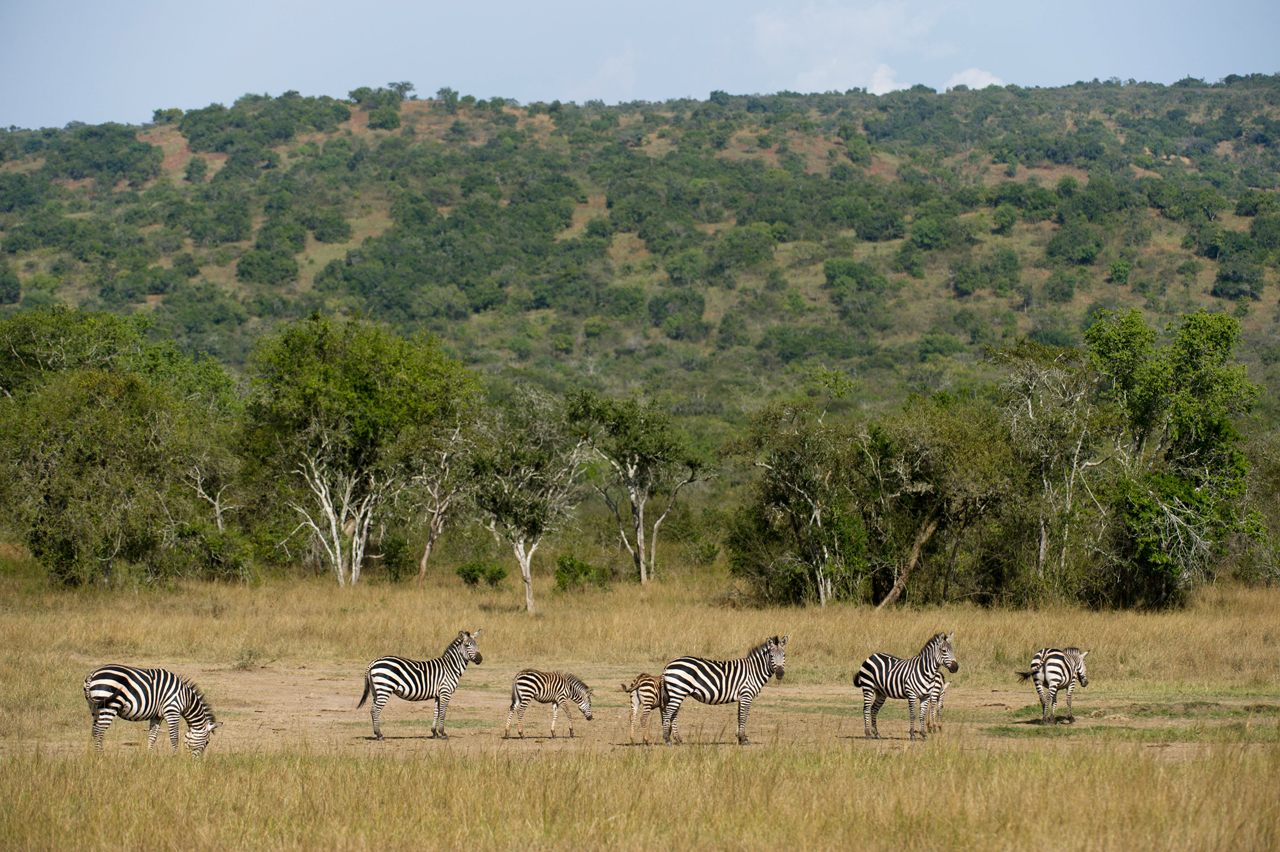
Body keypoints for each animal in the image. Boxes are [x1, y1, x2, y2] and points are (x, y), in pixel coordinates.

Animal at [83, 665, 221, 757]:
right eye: (207, 742)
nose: (196, 762)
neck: (185, 699)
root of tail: (92, 675)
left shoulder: (157, 716)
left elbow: (152, 736)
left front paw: (148, 757)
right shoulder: (172, 711)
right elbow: (174, 737)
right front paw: (175, 757)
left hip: (95, 708)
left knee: (94, 731)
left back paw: (94, 756)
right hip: (109, 705)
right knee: (99, 732)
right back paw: (101, 756)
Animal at [660, 629, 788, 741]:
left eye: (784, 655)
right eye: (771, 656)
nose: (780, 673)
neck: (754, 671)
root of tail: (668, 665)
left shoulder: (742, 697)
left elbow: (739, 716)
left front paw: (739, 737)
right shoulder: (746, 695)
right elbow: (744, 716)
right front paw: (743, 739)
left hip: (676, 693)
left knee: (673, 713)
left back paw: (677, 738)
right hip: (678, 691)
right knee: (668, 712)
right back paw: (667, 738)